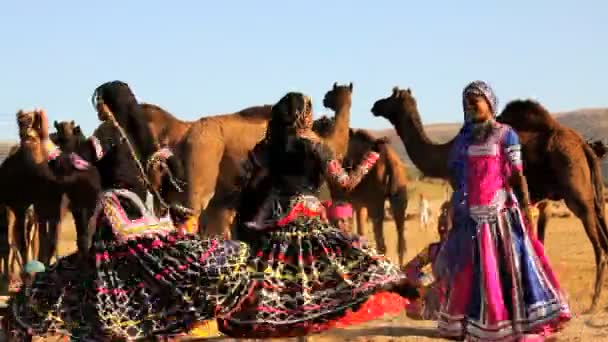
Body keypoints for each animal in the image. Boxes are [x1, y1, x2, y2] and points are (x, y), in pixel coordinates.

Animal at [314, 117, 408, 264]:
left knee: (382, 242)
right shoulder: (359, 203)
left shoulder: (344, 197)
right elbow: (360, 230)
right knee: (400, 241)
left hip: (375, 201)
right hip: (399, 196)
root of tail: (390, 160)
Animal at [372, 87, 608, 312]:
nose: (375, 105)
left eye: (391, 97)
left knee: (598, 245)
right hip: (592, 196)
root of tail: (583, 145)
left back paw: (593, 302)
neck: (444, 154)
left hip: (576, 192)